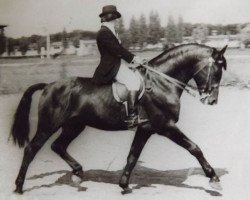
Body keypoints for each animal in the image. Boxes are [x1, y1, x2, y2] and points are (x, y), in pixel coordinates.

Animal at [10, 43, 228, 194]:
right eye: (217, 71)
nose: (212, 100)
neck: (162, 82)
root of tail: (49, 85)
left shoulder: (145, 129)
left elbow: (132, 156)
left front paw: (124, 185)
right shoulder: (165, 126)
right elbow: (194, 148)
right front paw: (213, 178)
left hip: (75, 126)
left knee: (58, 146)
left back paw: (78, 174)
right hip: (49, 125)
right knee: (31, 149)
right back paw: (19, 187)